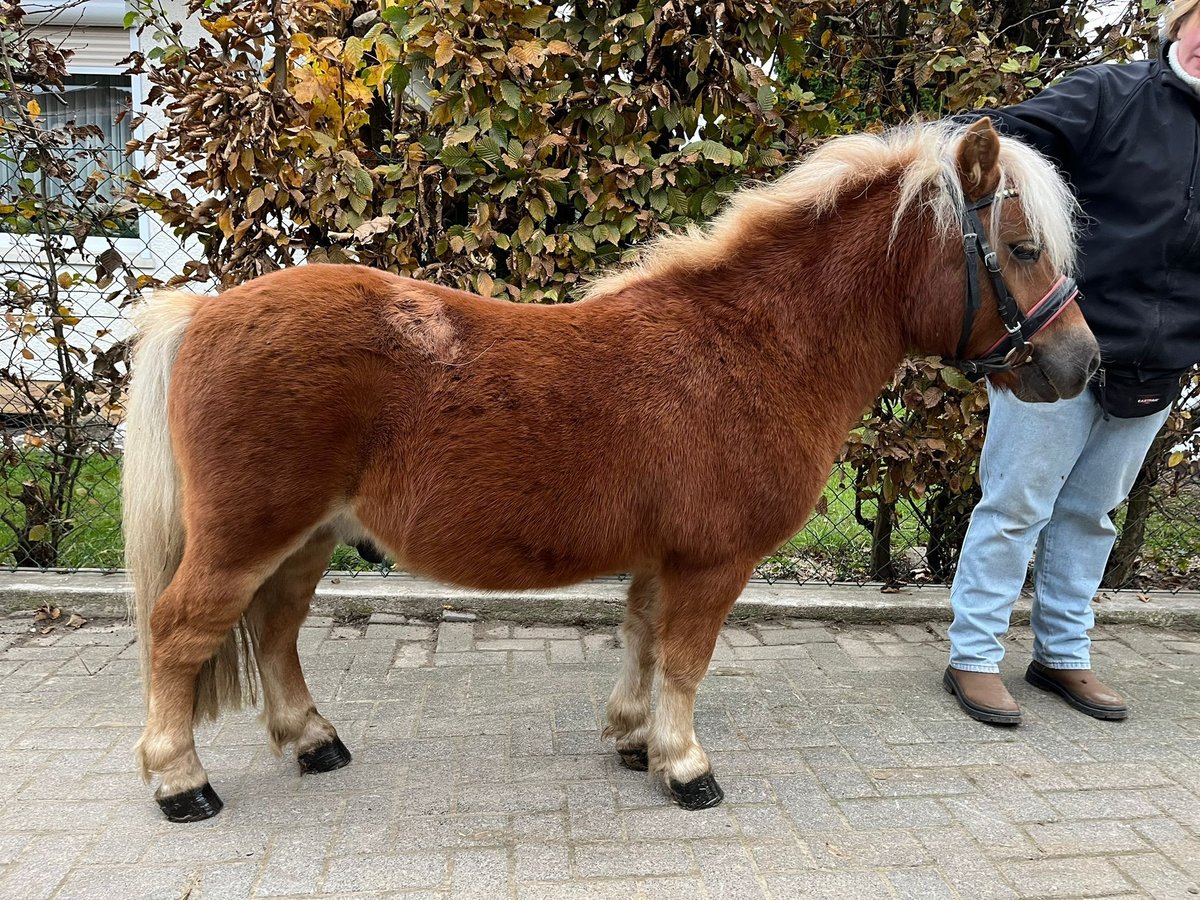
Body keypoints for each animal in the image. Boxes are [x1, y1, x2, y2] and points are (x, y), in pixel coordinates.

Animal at [124, 120, 1099, 825]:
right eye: (1020, 250)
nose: (1084, 362)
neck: (755, 348)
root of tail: (204, 313)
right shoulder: (713, 563)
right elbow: (685, 660)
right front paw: (686, 766)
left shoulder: (663, 557)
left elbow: (642, 643)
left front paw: (635, 741)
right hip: (246, 539)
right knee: (178, 635)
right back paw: (181, 784)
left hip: (305, 539)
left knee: (275, 630)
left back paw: (312, 740)